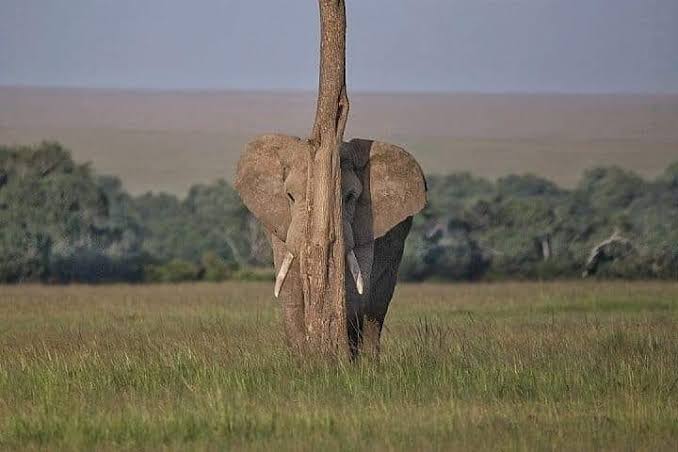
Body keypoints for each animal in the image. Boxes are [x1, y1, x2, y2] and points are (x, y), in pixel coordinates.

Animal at [235, 134, 426, 356]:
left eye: (350, 197)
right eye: (290, 196)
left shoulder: (367, 223)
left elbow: (356, 288)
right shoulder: (281, 225)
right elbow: (289, 289)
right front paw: (305, 359)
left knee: (377, 308)